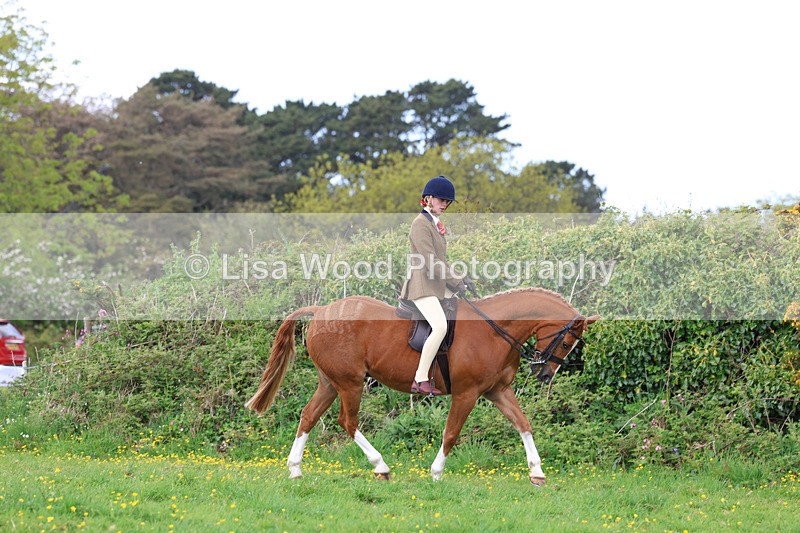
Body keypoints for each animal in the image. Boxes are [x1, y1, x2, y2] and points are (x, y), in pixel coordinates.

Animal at [245, 287, 599, 485]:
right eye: (566, 341)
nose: (543, 373)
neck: (493, 329)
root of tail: (321, 311)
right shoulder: (468, 393)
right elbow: (451, 433)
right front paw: (437, 472)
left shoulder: (497, 391)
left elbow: (523, 423)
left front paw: (537, 473)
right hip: (350, 383)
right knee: (348, 421)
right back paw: (381, 467)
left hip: (330, 383)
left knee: (308, 416)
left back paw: (295, 470)